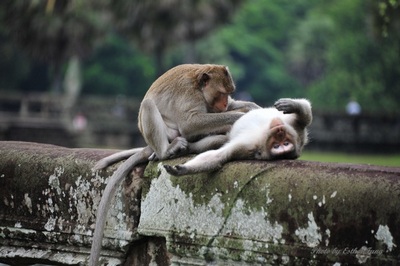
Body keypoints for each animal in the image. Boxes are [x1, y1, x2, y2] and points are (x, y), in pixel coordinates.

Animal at [89, 63, 260, 264]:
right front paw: (242, 116)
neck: (199, 88)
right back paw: (168, 150)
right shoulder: (190, 94)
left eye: (228, 93)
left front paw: (254, 107)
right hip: (167, 135)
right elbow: (190, 123)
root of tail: (150, 146)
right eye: (221, 93)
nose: (225, 104)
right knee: (149, 106)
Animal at [164, 98, 310, 176]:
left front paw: (183, 170)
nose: (280, 131)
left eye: (284, 144)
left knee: (219, 140)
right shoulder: (296, 130)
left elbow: (217, 156)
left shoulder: (246, 148)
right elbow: (305, 117)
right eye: (279, 145)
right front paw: (293, 105)